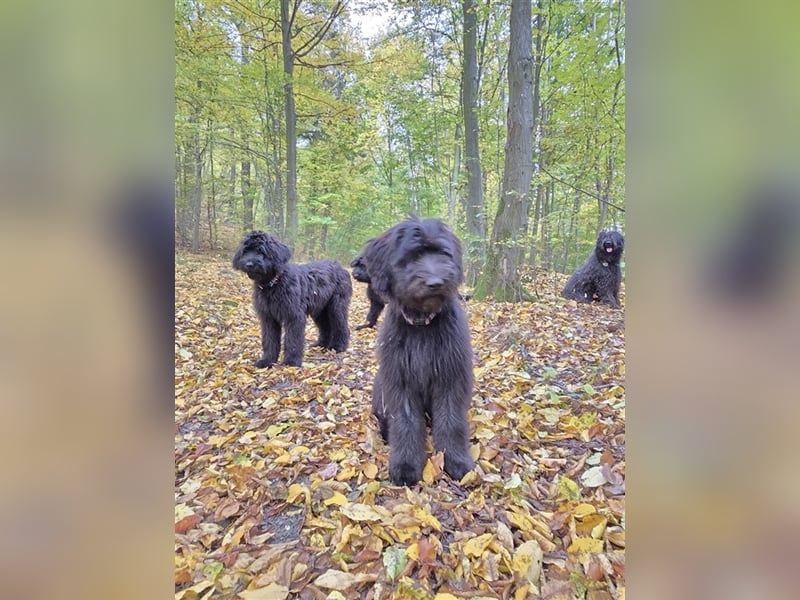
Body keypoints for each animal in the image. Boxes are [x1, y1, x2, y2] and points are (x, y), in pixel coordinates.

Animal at [230, 232, 352, 368]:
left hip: (336, 307)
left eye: (261, 251)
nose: (249, 264)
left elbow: (292, 340)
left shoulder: (294, 316)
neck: (274, 283)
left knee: (342, 326)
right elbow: (269, 340)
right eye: (246, 250)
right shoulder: (268, 318)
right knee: (326, 327)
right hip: (320, 310)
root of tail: (341, 267)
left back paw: (338, 346)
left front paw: (291, 362)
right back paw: (321, 345)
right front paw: (267, 360)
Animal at [362, 218, 476, 486]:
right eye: (411, 257)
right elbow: (406, 422)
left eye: (442, 253)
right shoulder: (401, 380)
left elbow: (451, 420)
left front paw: (456, 460)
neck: (423, 325)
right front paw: (405, 465)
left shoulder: (451, 376)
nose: (435, 282)